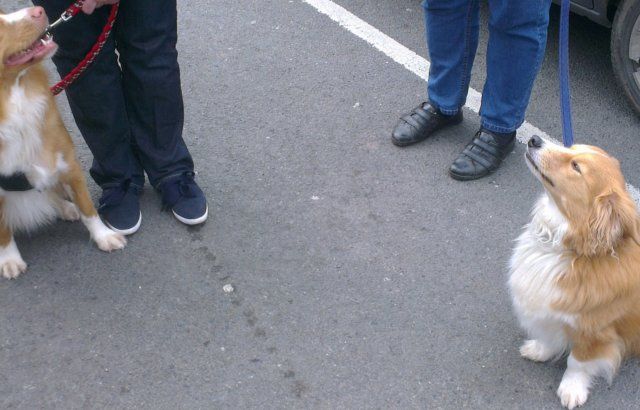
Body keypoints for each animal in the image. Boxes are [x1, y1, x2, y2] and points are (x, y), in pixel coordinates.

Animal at [0, 8, 126, 280]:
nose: (38, 10)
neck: (14, 98)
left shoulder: (67, 163)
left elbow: (88, 208)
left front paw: (104, 236)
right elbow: (3, 232)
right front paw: (10, 260)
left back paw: (66, 209)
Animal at [510, 136, 640, 408]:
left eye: (576, 167)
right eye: (571, 149)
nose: (534, 139)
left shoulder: (596, 332)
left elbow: (577, 362)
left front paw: (571, 389)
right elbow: (549, 336)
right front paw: (539, 350)